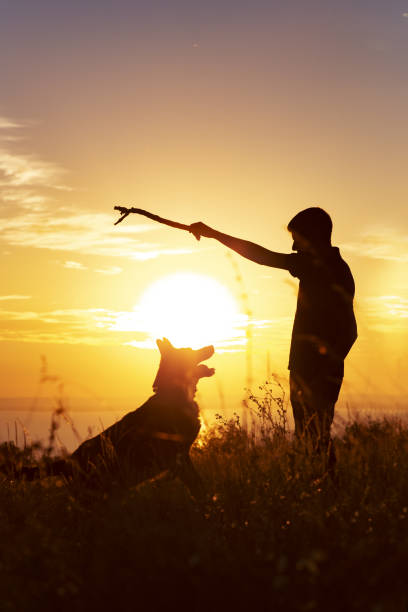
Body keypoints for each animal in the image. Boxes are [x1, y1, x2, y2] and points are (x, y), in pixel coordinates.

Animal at [14, 338, 215, 494]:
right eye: (190, 351)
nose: (212, 346)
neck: (172, 393)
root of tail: (68, 461)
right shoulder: (177, 458)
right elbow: (198, 488)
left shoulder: (182, 456)